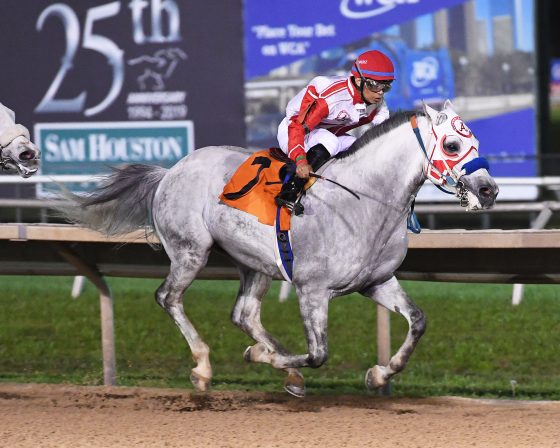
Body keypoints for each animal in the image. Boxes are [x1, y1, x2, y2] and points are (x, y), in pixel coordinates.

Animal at [62, 100, 498, 396]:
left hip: (254, 263)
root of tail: (171, 170)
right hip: (191, 251)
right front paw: (258, 357)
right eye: (453, 144)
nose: (489, 190)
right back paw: (204, 367)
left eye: (475, 140)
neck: (364, 200)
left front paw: (379, 373)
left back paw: (282, 369)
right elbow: (319, 353)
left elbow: (418, 321)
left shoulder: (376, 281)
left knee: (244, 314)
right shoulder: (312, 290)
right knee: (169, 297)